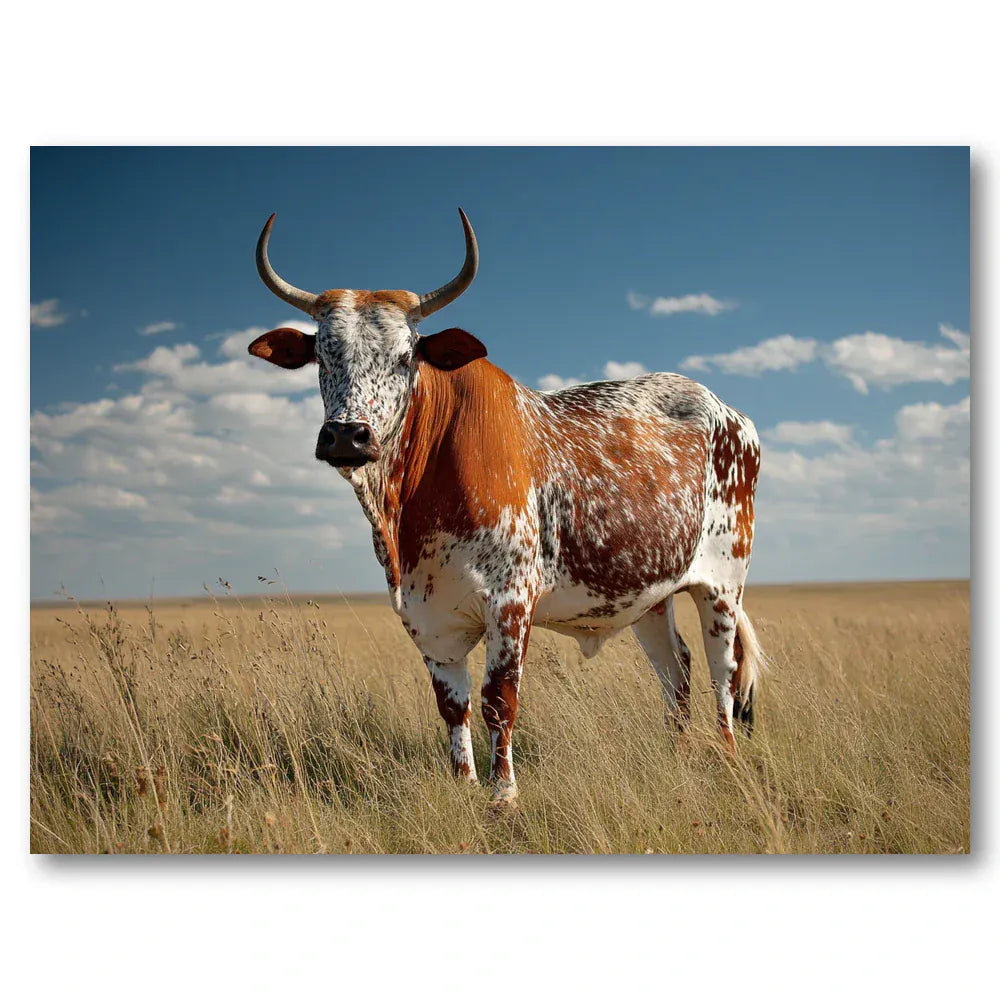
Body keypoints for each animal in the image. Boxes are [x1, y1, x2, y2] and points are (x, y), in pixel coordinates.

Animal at [248, 209, 764, 805]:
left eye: (405, 356)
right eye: (322, 355)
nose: (347, 437)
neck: (411, 504)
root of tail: (728, 412)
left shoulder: (511, 601)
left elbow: (499, 700)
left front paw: (504, 796)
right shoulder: (426, 615)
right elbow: (454, 705)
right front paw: (466, 785)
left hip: (722, 584)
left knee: (721, 672)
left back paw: (726, 760)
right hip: (649, 593)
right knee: (675, 670)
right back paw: (677, 757)